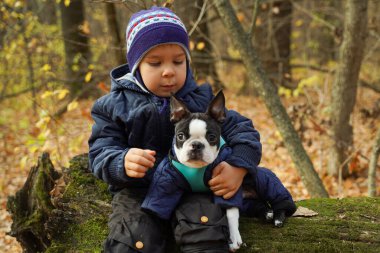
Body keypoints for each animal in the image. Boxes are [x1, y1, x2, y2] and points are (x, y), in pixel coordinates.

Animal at [170, 90, 243, 251]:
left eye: (212, 137)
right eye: (180, 136)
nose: (196, 145)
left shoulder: (227, 183)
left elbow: (231, 210)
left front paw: (234, 236)